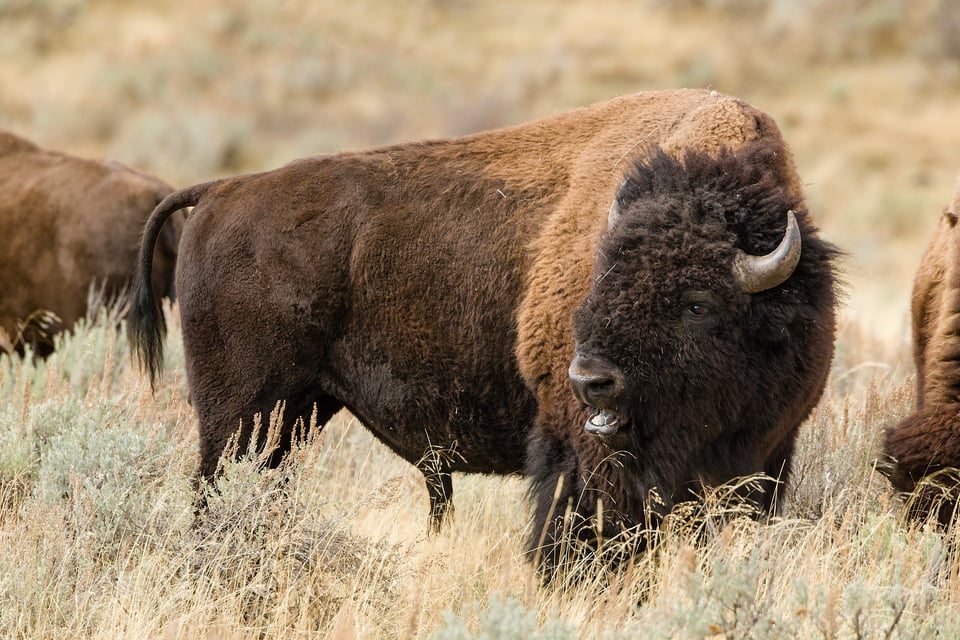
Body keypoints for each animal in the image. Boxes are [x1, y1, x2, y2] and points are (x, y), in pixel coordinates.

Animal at [129, 89, 840, 576]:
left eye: (696, 303)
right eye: (598, 280)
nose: (592, 380)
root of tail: (221, 190)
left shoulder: (766, 457)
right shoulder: (583, 456)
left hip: (296, 413)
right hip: (238, 413)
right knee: (214, 490)